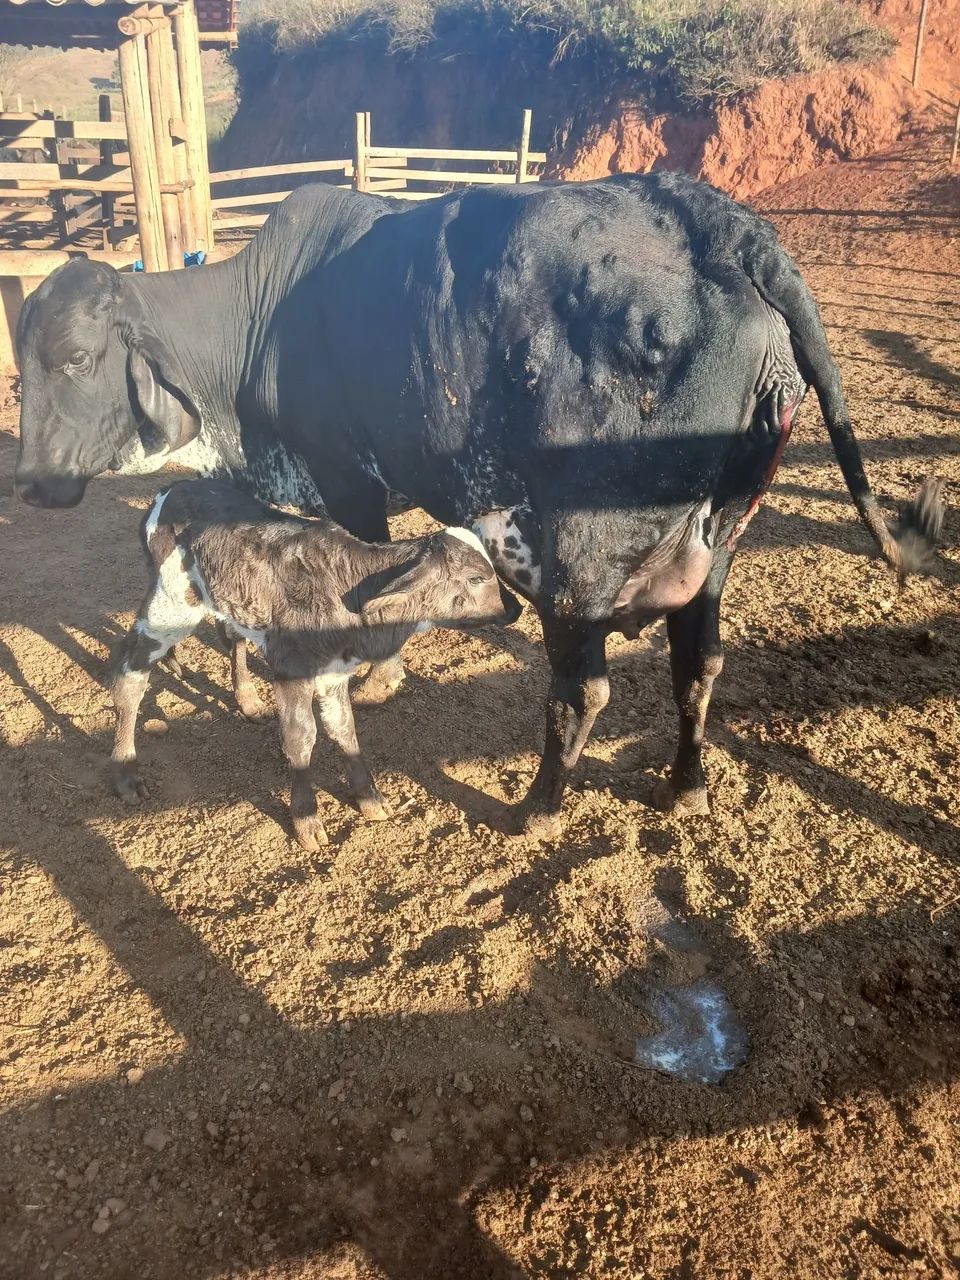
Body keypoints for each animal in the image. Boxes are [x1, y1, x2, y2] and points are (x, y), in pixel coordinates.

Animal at [13, 172, 944, 839]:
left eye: (74, 359)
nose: (28, 482)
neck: (255, 331)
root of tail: (727, 226)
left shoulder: (346, 485)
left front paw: (376, 676)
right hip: (717, 547)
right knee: (699, 665)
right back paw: (685, 786)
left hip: (577, 562)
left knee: (584, 690)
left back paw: (537, 808)